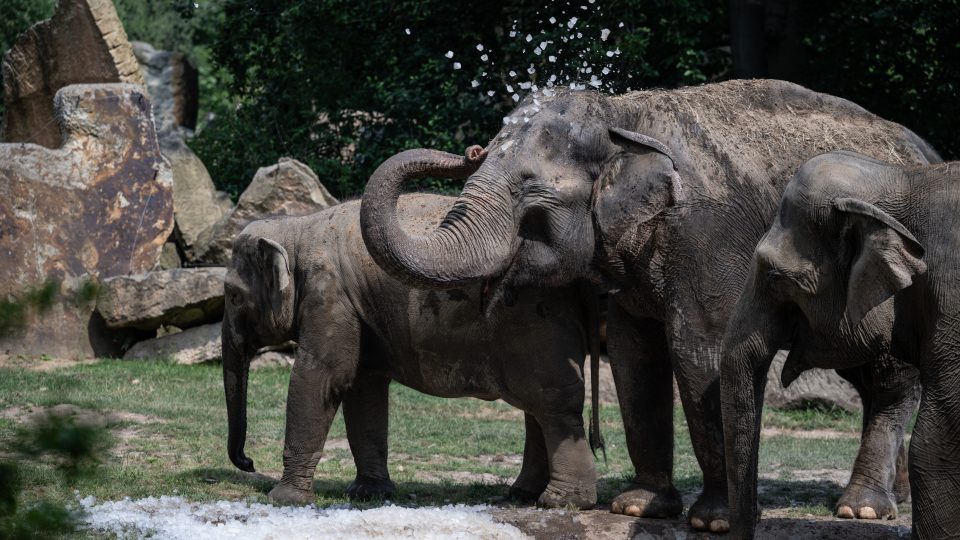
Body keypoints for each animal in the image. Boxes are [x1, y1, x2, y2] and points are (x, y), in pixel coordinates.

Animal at [223, 192, 600, 508]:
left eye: (233, 296)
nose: (249, 462)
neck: (298, 229)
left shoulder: (329, 295)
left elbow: (320, 377)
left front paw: (283, 499)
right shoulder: (357, 308)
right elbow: (363, 388)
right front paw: (370, 494)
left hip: (536, 321)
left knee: (551, 403)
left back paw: (560, 502)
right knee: (537, 407)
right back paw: (522, 495)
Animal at [360, 80, 936, 532]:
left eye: (529, 193)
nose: (471, 147)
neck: (624, 115)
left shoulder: (708, 236)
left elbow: (699, 352)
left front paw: (712, 521)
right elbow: (635, 357)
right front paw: (638, 507)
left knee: (888, 373)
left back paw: (861, 510)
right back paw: (891, 498)